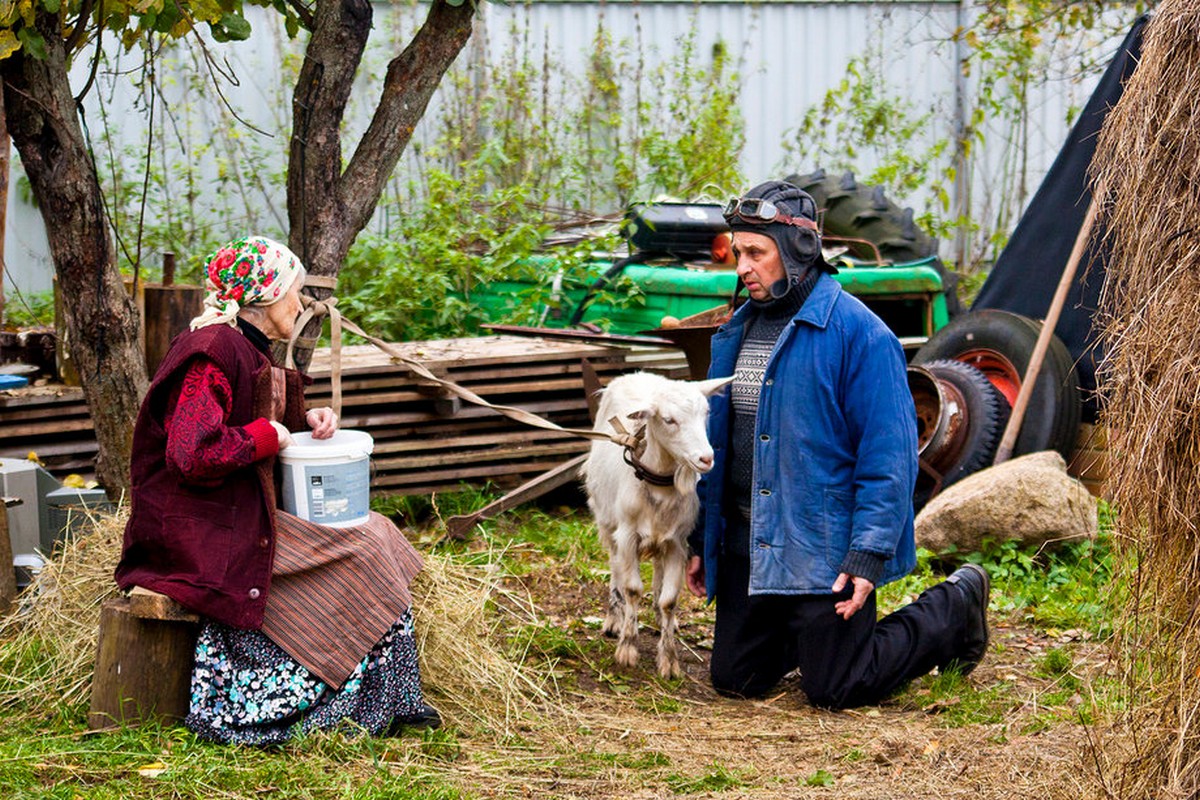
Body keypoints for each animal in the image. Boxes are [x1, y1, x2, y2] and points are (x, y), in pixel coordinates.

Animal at [580, 371, 729, 681]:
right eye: (669, 420)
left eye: (705, 413)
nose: (706, 459)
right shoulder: (628, 536)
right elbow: (632, 588)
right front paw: (627, 648)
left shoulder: (678, 543)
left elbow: (669, 599)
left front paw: (669, 660)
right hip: (607, 521)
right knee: (615, 567)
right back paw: (614, 618)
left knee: (658, 575)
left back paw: (662, 619)